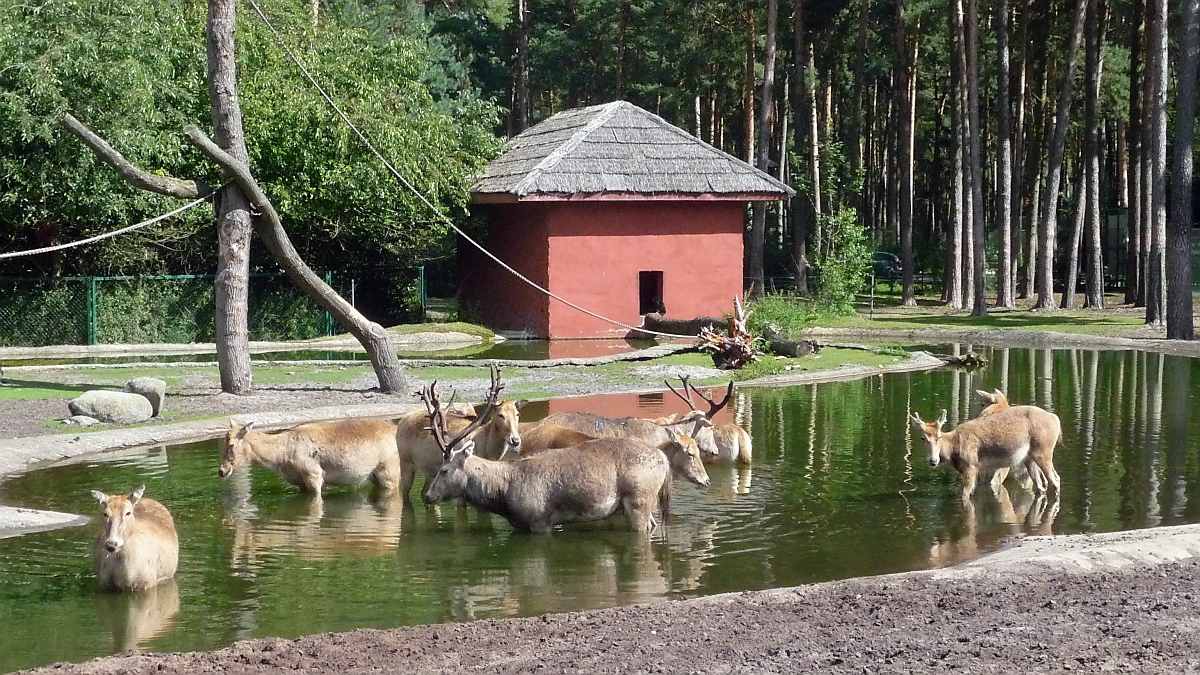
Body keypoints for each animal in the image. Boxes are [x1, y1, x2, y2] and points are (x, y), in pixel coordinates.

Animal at [218, 415, 400, 494]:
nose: (222, 471)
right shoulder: (301, 482)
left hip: (389, 470)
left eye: (231, 444)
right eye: (224, 441)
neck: (281, 457)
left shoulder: (313, 473)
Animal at [420, 374, 705, 528]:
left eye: (444, 469)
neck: (503, 492)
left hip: (639, 500)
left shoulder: (540, 522)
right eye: (691, 452)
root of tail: (662, 460)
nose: (427, 495)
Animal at [902, 401, 1065, 502]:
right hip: (1028, 457)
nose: (933, 460)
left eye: (939, 436)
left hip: (1043, 449)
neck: (953, 449)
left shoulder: (971, 465)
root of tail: (1056, 419)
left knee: (1055, 479)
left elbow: (964, 495)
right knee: (1041, 484)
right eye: (923, 438)